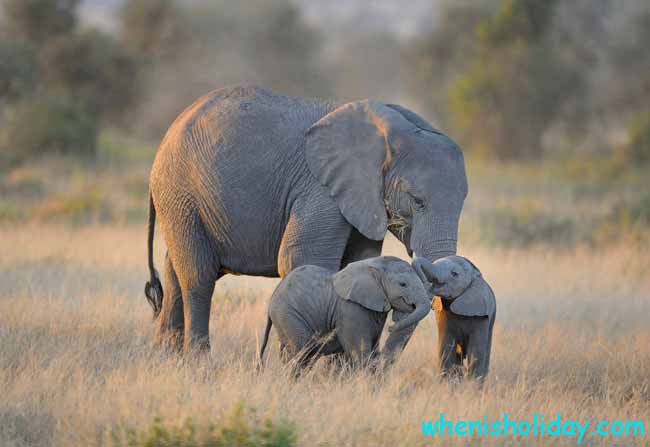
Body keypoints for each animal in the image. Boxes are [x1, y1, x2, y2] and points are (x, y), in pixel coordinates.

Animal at [144, 86, 466, 354]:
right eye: (417, 201)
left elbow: (358, 262)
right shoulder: (320, 189)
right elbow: (301, 258)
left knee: (175, 270)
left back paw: (166, 358)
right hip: (180, 193)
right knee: (198, 275)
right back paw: (198, 362)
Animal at [258, 258, 430, 372]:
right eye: (403, 284)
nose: (391, 326)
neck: (375, 265)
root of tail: (271, 301)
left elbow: (372, 348)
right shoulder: (350, 309)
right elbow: (360, 352)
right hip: (288, 315)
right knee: (301, 353)